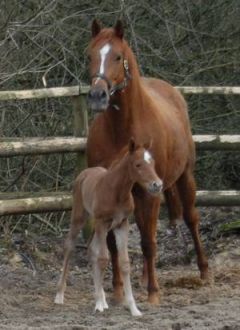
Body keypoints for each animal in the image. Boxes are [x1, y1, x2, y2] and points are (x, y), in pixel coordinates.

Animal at [55, 139, 162, 314]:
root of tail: (84, 173)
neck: (117, 191)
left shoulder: (122, 224)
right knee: (70, 246)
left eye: (152, 162)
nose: (157, 185)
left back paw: (103, 298)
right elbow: (104, 259)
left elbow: (124, 263)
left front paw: (133, 308)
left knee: (91, 248)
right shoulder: (102, 222)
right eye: (138, 164)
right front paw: (98, 304)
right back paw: (60, 295)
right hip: (80, 217)